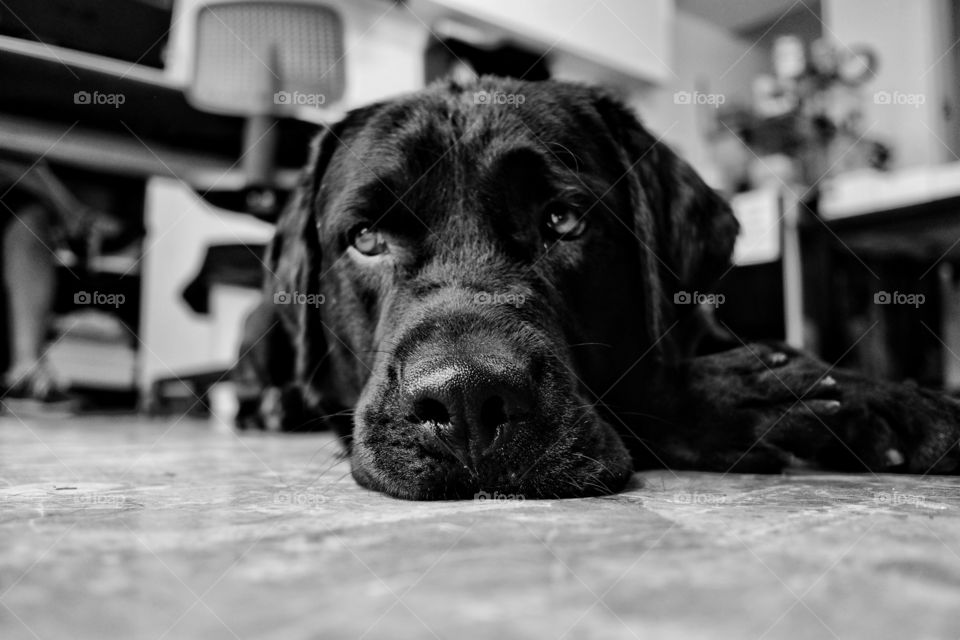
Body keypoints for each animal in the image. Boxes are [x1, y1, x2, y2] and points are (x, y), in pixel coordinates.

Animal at [236, 77, 960, 500]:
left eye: (563, 221)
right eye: (366, 238)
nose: (466, 398)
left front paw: (899, 402)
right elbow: (657, 385)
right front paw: (759, 400)